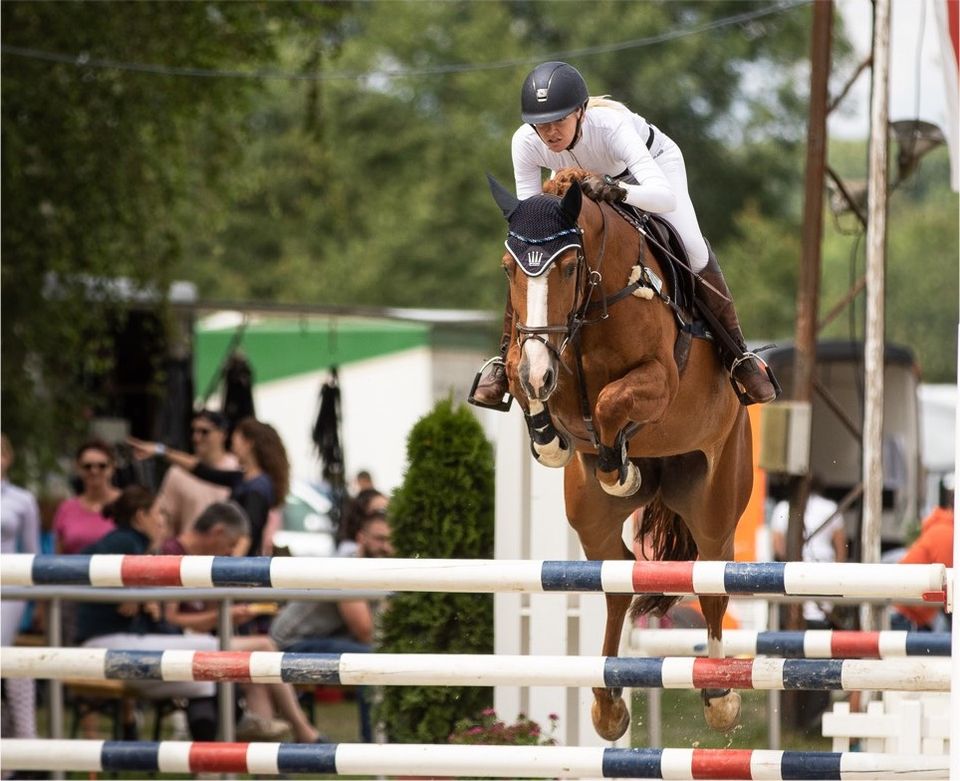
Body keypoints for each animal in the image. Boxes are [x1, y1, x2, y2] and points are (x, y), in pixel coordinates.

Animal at [492, 168, 752, 740]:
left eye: (569, 266)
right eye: (508, 268)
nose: (540, 373)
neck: (593, 303)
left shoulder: (659, 380)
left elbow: (611, 401)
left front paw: (619, 468)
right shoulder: (539, 355)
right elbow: (529, 382)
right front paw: (550, 438)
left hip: (715, 502)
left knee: (712, 581)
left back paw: (719, 694)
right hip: (589, 519)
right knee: (618, 581)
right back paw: (608, 702)